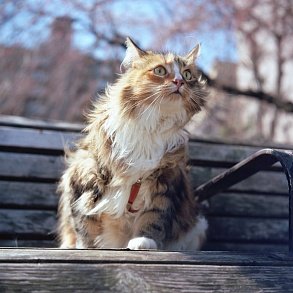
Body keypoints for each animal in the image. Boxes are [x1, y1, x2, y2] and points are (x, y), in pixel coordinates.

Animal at [57, 37, 208, 249]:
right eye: (160, 71)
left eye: (187, 74)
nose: (179, 81)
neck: (151, 126)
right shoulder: (86, 176)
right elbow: (84, 224)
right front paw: (87, 248)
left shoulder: (166, 179)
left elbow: (154, 217)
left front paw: (144, 241)